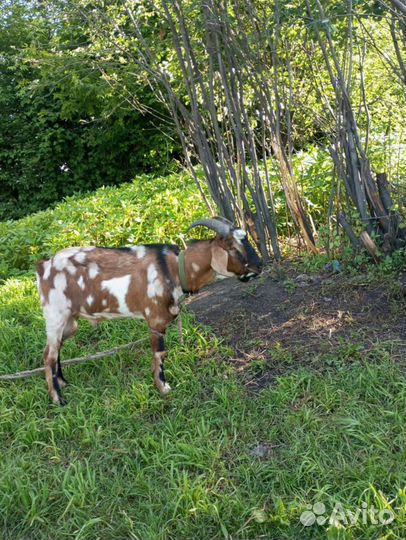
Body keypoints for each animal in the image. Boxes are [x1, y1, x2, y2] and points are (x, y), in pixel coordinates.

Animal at [36, 217, 262, 402]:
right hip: (55, 314)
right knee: (49, 355)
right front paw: (163, 387)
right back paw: (58, 399)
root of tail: (43, 267)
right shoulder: (155, 320)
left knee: (55, 349)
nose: (259, 266)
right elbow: (160, 354)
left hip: (70, 321)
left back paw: (63, 383)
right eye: (232, 248)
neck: (175, 269)